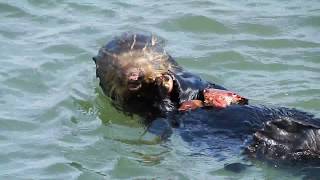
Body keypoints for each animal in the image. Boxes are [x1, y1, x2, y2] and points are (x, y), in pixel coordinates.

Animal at [92, 33, 320, 168]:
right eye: (115, 68)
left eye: (147, 57)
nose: (134, 75)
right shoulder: (133, 107)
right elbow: (157, 108)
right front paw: (158, 89)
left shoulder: (192, 80)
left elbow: (193, 86)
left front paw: (167, 81)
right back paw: (281, 132)